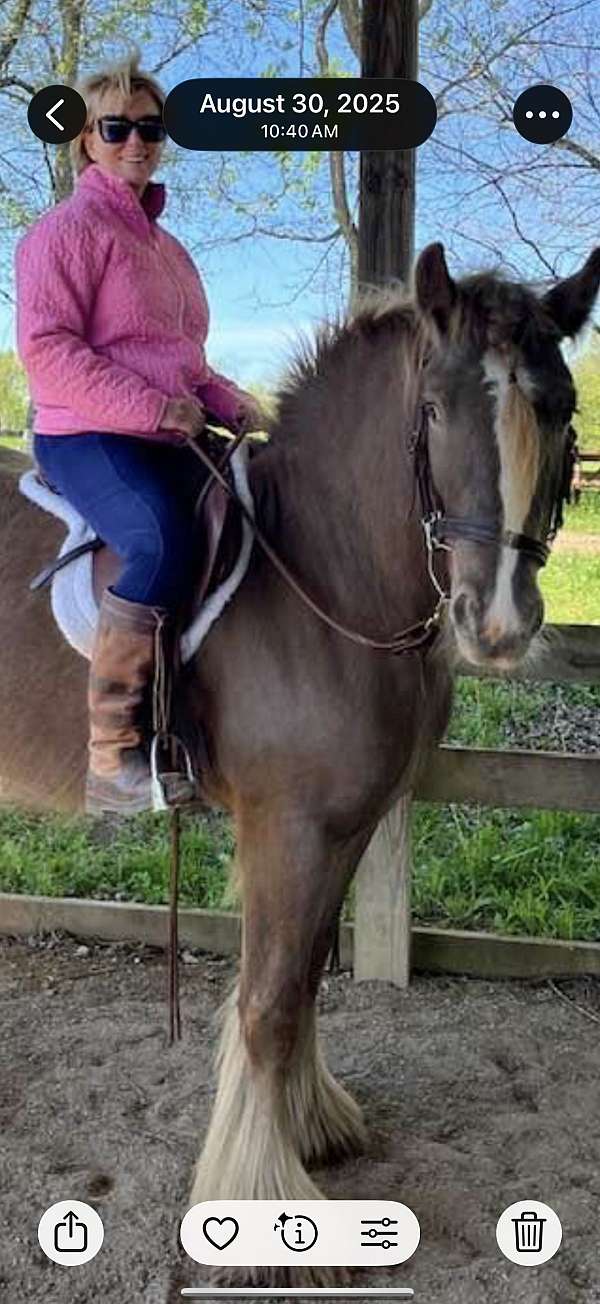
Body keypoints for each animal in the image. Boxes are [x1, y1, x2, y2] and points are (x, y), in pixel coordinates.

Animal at [1, 242, 599, 1284]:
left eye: (561, 406)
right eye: (433, 409)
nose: (497, 625)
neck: (322, 572)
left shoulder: (345, 826)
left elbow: (307, 979)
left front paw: (311, 1129)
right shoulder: (291, 829)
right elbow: (270, 1003)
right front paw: (266, 1213)